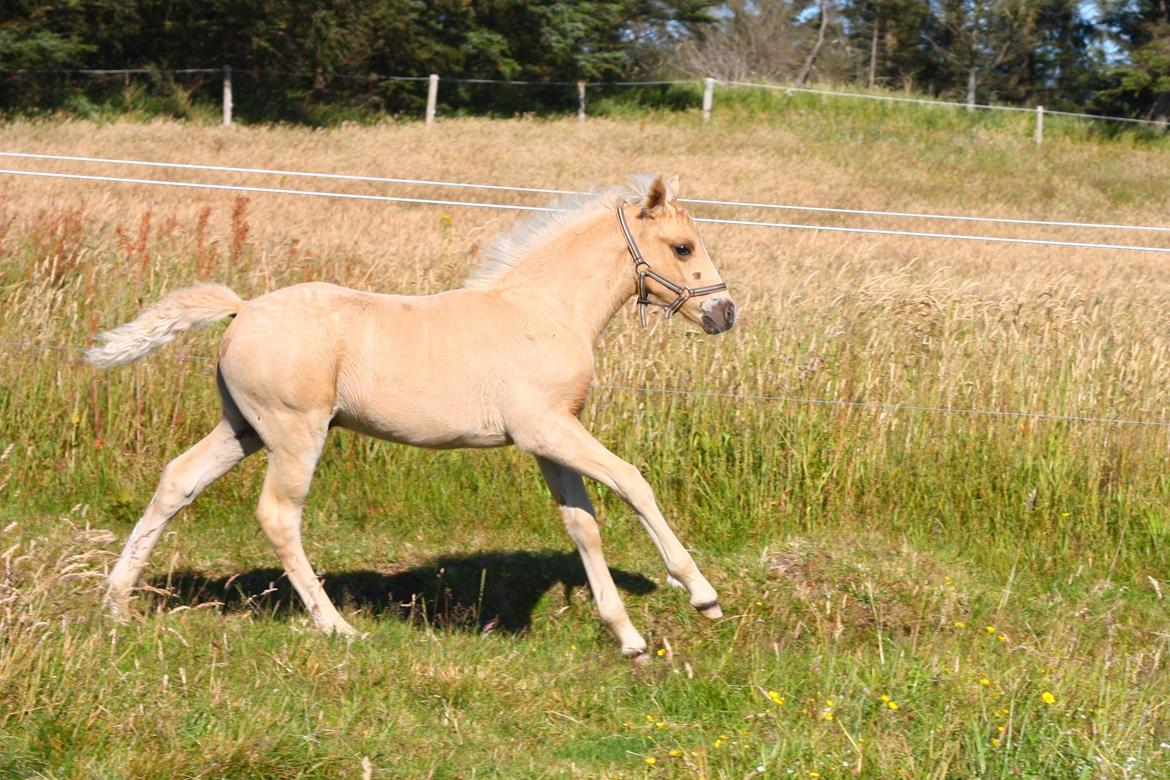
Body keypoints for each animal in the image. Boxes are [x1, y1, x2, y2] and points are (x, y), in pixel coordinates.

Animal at [88, 174, 730, 654]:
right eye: (682, 247)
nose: (724, 313)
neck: (545, 309)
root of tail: (241, 309)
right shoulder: (547, 429)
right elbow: (632, 482)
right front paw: (701, 594)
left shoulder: (551, 440)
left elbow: (582, 524)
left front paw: (628, 638)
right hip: (295, 432)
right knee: (278, 515)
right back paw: (337, 627)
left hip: (243, 428)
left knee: (178, 479)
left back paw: (116, 603)